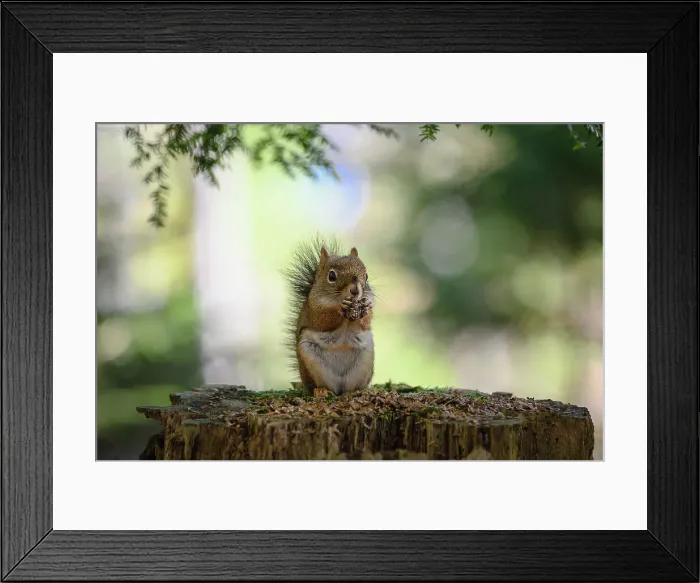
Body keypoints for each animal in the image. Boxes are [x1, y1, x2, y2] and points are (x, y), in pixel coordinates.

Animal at [282, 237, 375, 397]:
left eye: (367, 275)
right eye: (332, 276)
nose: (355, 291)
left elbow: (365, 323)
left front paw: (366, 309)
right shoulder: (313, 310)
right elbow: (323, 321)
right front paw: (340, 309)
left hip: (365, 361)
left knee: (349, 387)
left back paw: (354, 391)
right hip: (312, 361)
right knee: (325, 386)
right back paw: (322, 391)